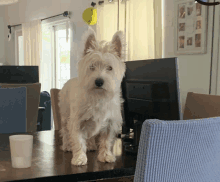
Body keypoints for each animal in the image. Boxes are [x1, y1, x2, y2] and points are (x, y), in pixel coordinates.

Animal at [58, 27, 125, 166]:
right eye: (92, 66)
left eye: (110, 68)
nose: (99, 81)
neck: (98, 96)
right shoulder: (77, 121)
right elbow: (78, 140)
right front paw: (79, 158)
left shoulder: (110, 123)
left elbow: (106, 141)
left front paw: (106, 156)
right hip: (65, 114)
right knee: (65, 131)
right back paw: (67, 145)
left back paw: (90, 145)